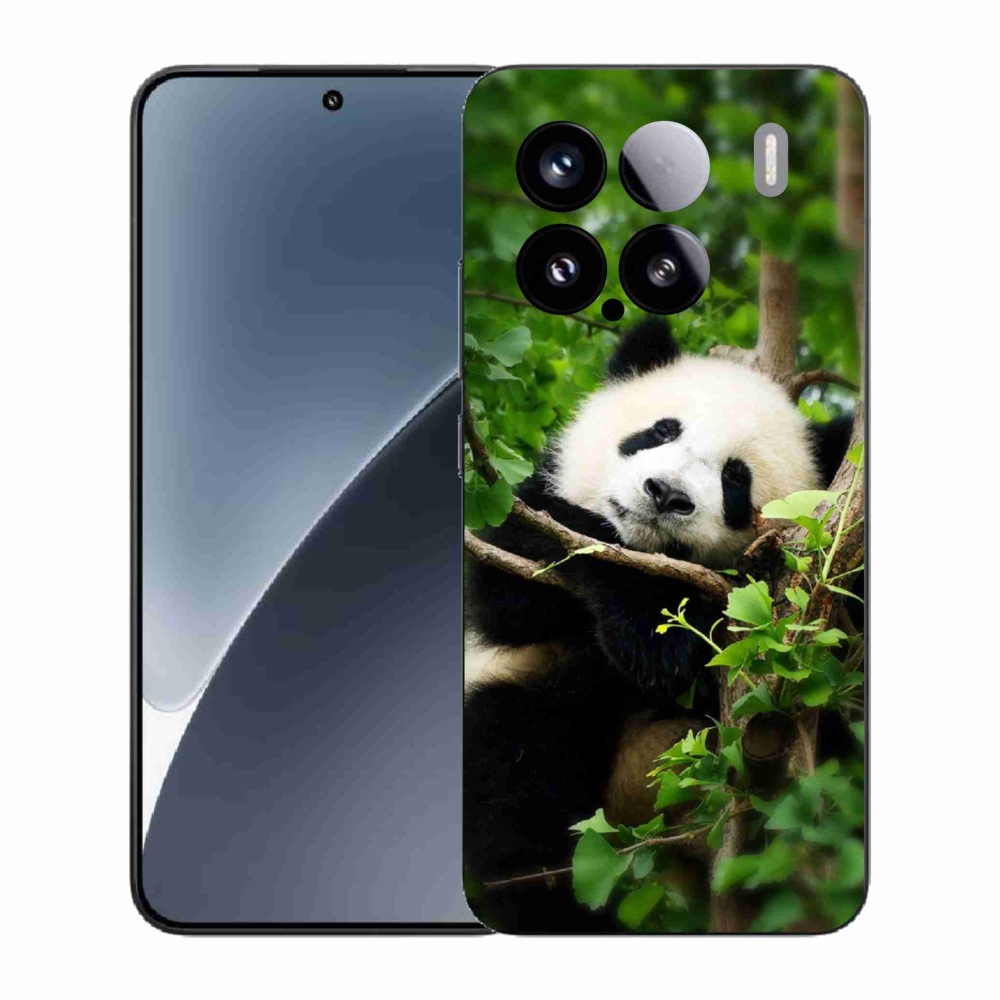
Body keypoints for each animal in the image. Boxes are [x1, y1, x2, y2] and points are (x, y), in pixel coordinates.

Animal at [463, 318, 851, 933]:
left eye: (736, 480)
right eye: (660, 430)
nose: (666, 494)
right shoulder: (521, 521)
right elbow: (518, 584)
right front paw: (653, 631)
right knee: (513, 772)